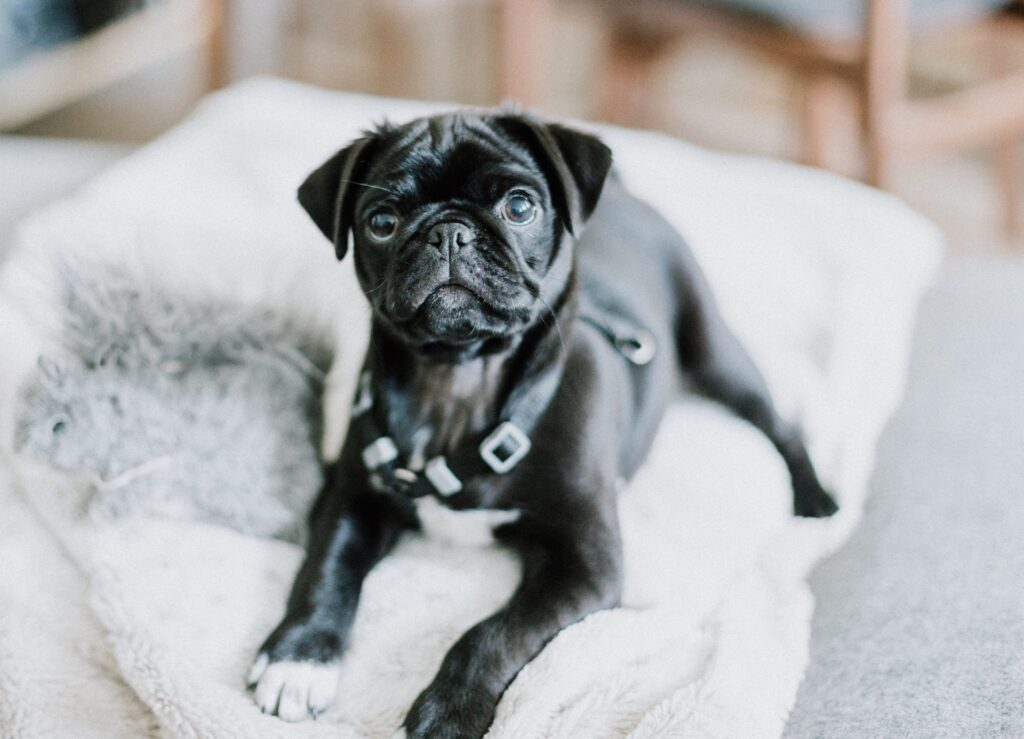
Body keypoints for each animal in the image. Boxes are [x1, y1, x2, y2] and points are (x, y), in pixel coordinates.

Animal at [247, 107, 839, 732]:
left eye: (520, 207)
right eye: (382, 222)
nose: (448, 231)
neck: (459, 380)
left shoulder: (584, 565)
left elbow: (492, 632)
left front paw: (448, 710)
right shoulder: (353, 495)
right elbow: (326, 569)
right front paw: (298, 657)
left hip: (713, 350)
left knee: (776, 421)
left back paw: (815, 498)